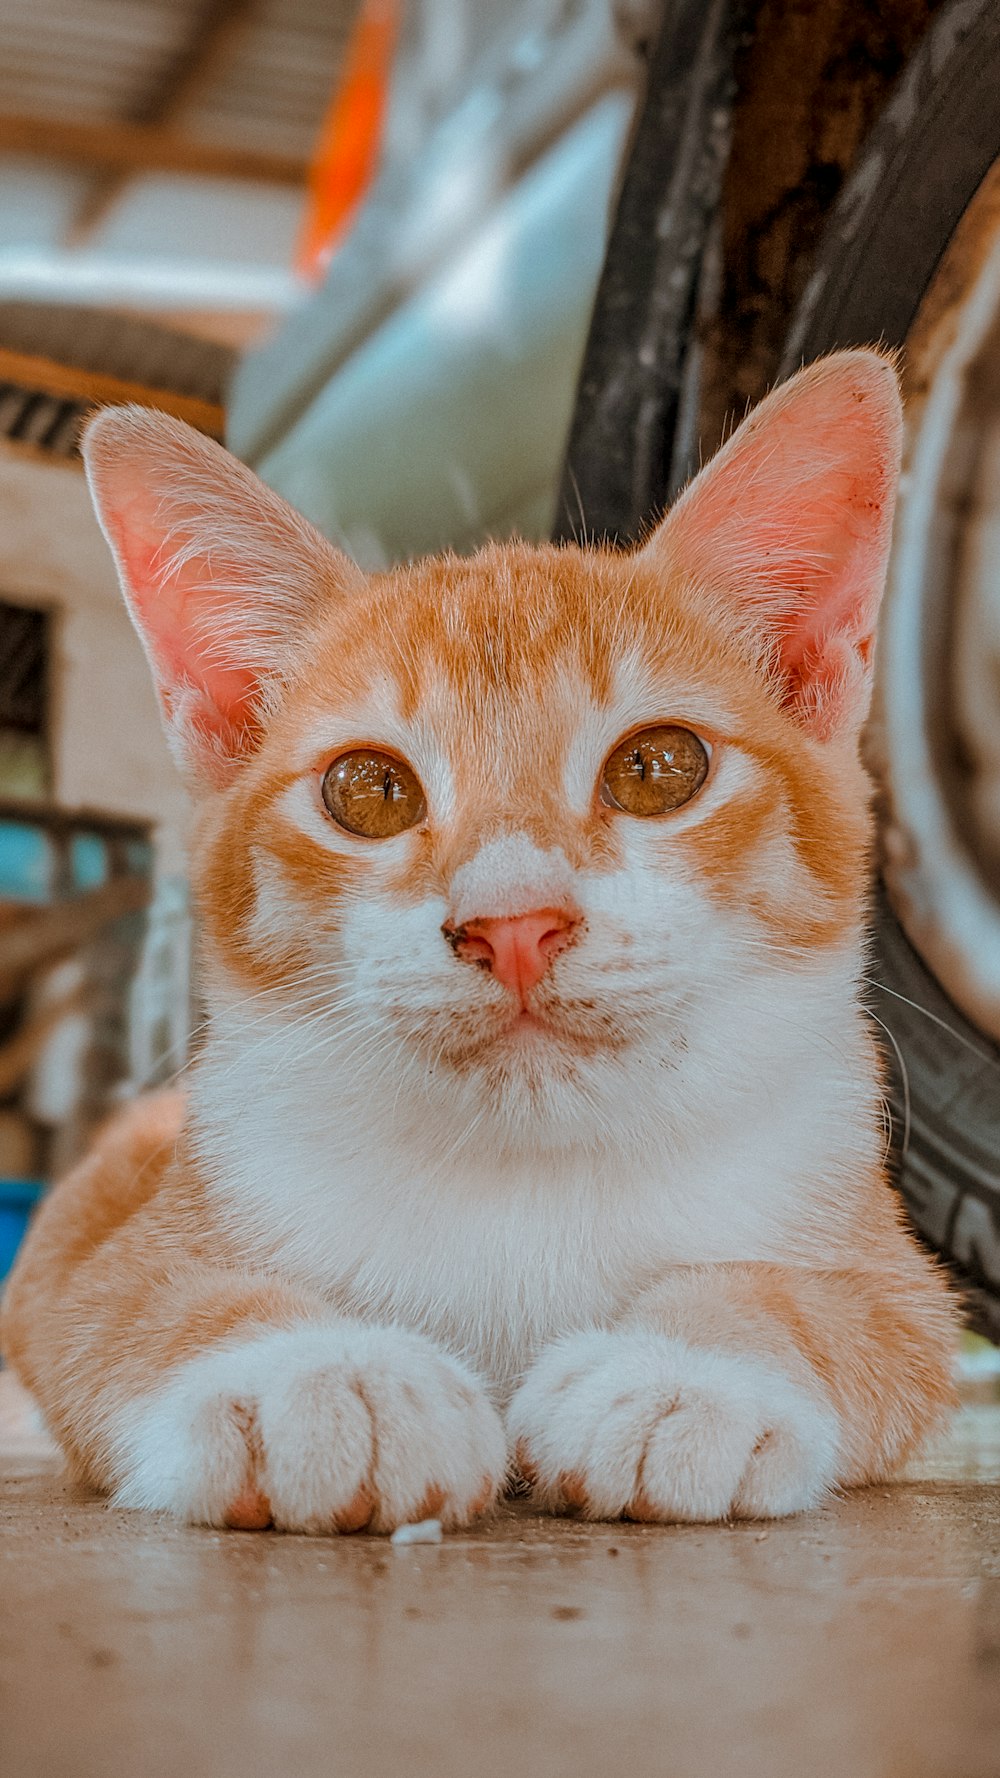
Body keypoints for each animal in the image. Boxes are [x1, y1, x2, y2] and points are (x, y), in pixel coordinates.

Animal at [1, 353, 960, 1536]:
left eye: (657, 767)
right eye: (368, 789)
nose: (514, 924)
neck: (525, 1173)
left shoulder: (901, 1280)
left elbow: (826, 1306)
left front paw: (683, 1367)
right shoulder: (99, 1261)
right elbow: (147, 1305)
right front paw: (314, 1373)